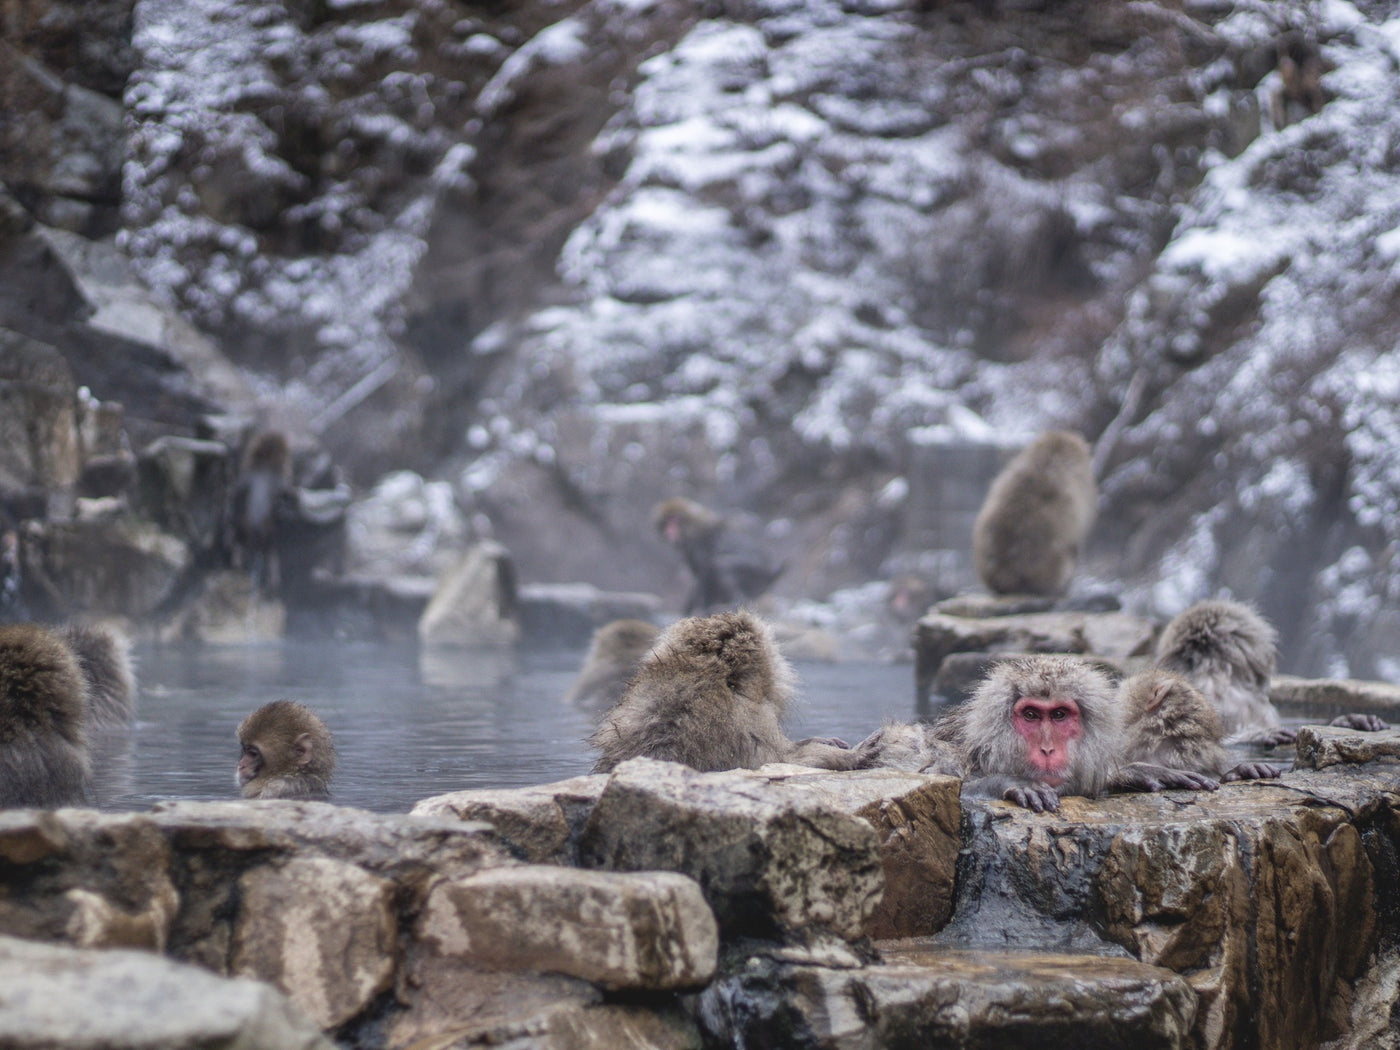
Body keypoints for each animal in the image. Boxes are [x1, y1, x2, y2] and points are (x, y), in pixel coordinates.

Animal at [229, 429, 292, 594]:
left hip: (243, 530)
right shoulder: (281, 483)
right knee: (269, 555)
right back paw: (272, 582)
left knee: (239, 549)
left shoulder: (243, 481)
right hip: (268, 536)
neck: (264, 465)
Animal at [652, 498, 784, 615]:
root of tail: (771, 574)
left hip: (755, 573)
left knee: (720, 565)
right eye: (666, 522)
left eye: (674, 520)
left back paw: (735, 601)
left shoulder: (697, 546)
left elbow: (702, 577)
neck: (693, 526)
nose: (670, 530)